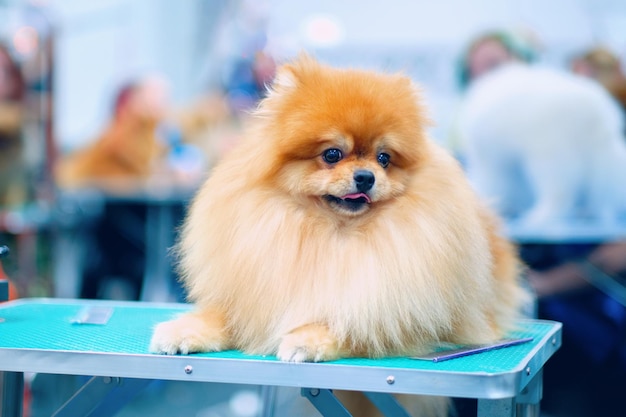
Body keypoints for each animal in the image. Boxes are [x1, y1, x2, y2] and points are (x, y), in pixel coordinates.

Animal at [151, 54, 528, 412]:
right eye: (332, 154)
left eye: (384, 158)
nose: (366, 176)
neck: (331, 233)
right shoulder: (255, 294)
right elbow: (224, 317)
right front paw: (183, 330)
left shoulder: (404, 315)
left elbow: (354, 323)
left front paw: (307, 339)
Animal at [456, 62, 624, 226]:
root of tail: (596, 114)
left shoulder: (494, 162)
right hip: (596, 158)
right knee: (597, 190)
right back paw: (589, 212)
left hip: (547, 156)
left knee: (560, 192)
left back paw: (538, 217)